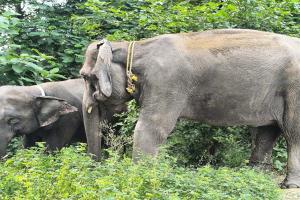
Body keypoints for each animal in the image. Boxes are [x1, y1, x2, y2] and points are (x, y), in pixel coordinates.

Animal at [79, 28, 300, 188]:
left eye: (86, 77)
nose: (96, 170)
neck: (135, 46)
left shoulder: (165, 81)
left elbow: (151, 128)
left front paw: (139, 179)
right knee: (266, 132)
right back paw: (255, 176)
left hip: (294, 89)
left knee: (292, 133)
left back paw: (288, 185)